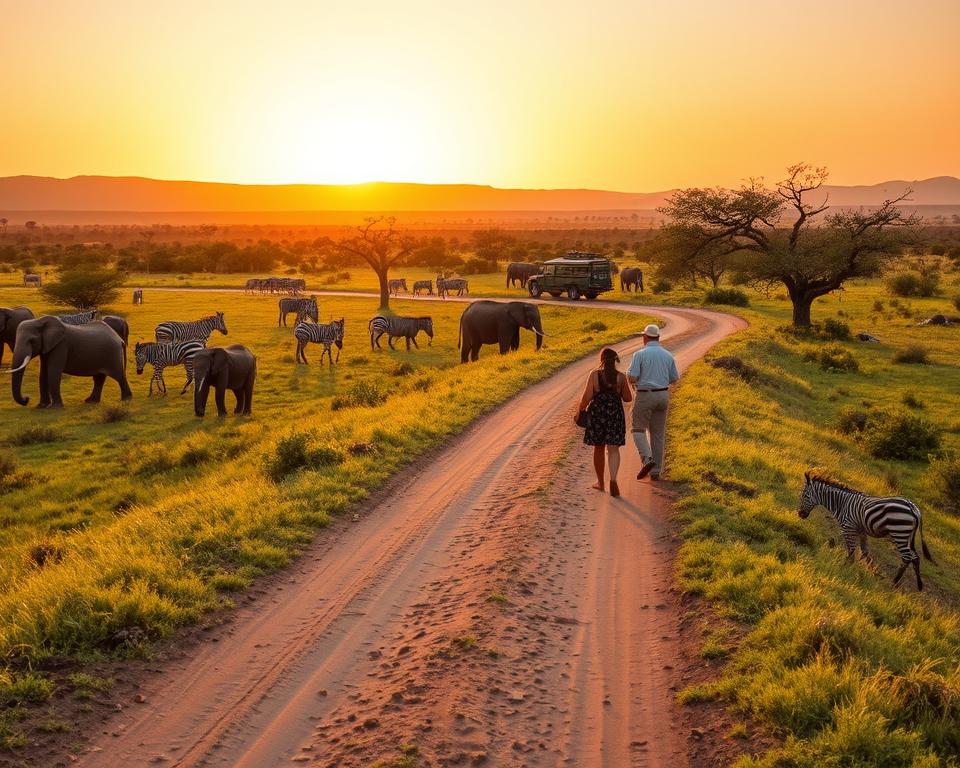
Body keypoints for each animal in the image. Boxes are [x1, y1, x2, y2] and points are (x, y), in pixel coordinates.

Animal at [798, 472, 934, 590]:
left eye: (804, 495)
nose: (800, 514)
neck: (841, 504)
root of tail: (914, 509)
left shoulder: (848, 528)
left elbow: (851, 549)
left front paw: (846, 566)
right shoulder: (861, 530)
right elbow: (865, 552)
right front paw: (872, 571)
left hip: (899, 533)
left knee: (907, 557)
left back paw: (894, 582)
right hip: (908, 536)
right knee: (915, 557)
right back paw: (919, 585)